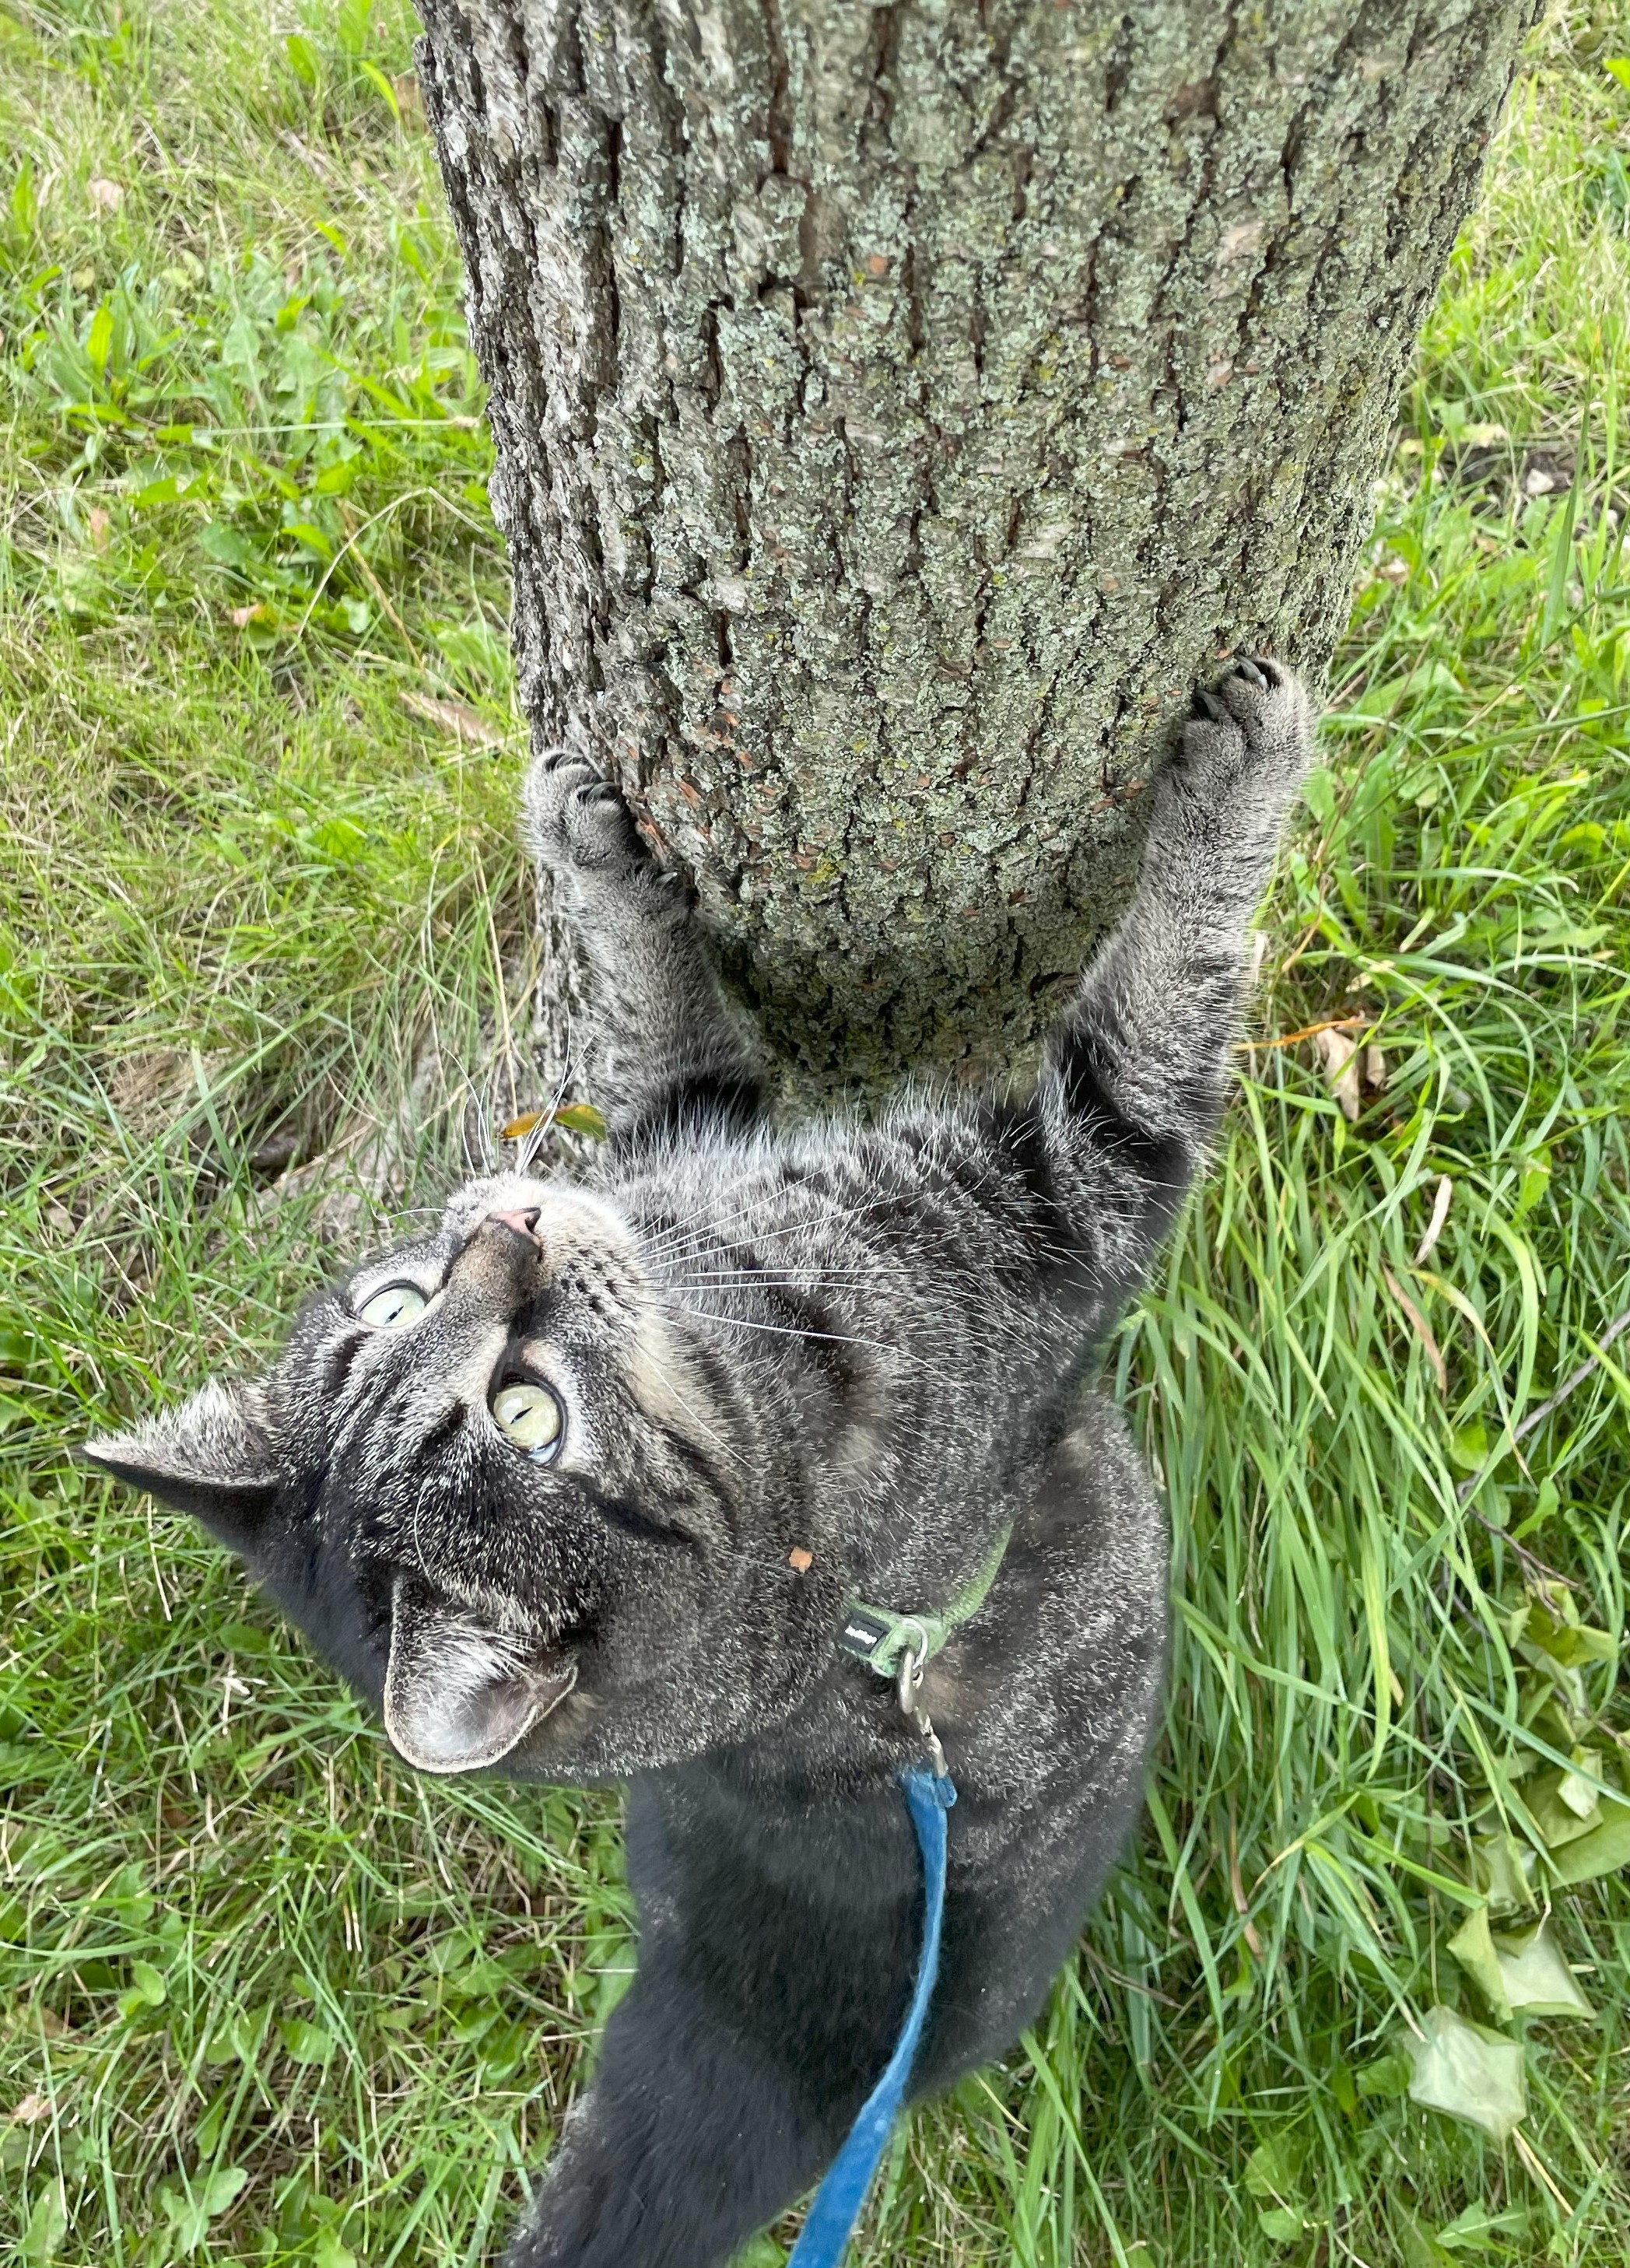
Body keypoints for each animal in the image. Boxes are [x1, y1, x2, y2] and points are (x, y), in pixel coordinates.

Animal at [86, 657, 1314, 2268]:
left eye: (402, 1309)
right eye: (530, 1417)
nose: (507, 1227)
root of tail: (740, 2043)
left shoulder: (690, 1118)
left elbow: (653, 1008)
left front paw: (584, 839)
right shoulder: (1061, 1194)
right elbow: (1170, 985)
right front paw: (1243, 772)